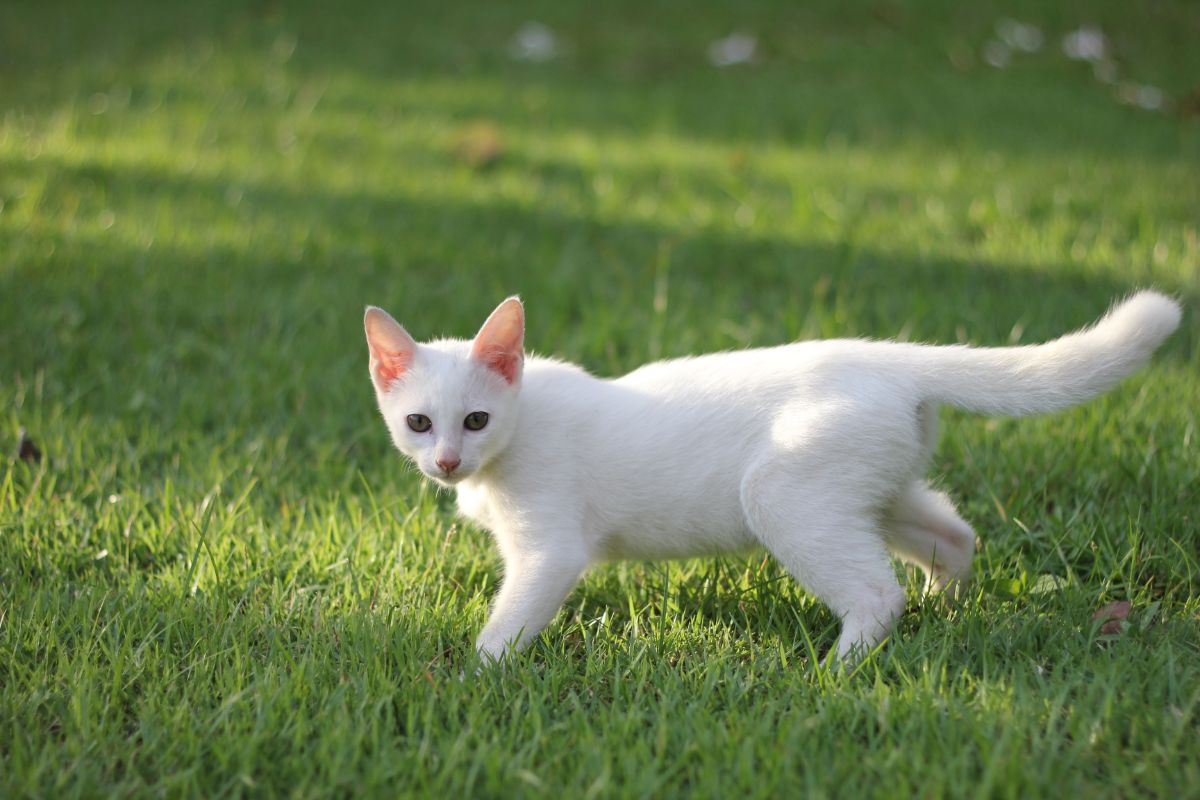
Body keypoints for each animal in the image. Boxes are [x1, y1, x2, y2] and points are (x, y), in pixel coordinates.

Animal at [362, 292, 1180, 662]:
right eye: (419, 424)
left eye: (475, 420)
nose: (446, 462)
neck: (520, 425)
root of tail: (889, 356)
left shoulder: (550, 550)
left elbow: (506, 626)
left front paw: (476, 673)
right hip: (879, 494)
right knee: (956, 536)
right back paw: (944, 612)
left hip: (787, 500)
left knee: (877, 592)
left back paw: (837, 670)